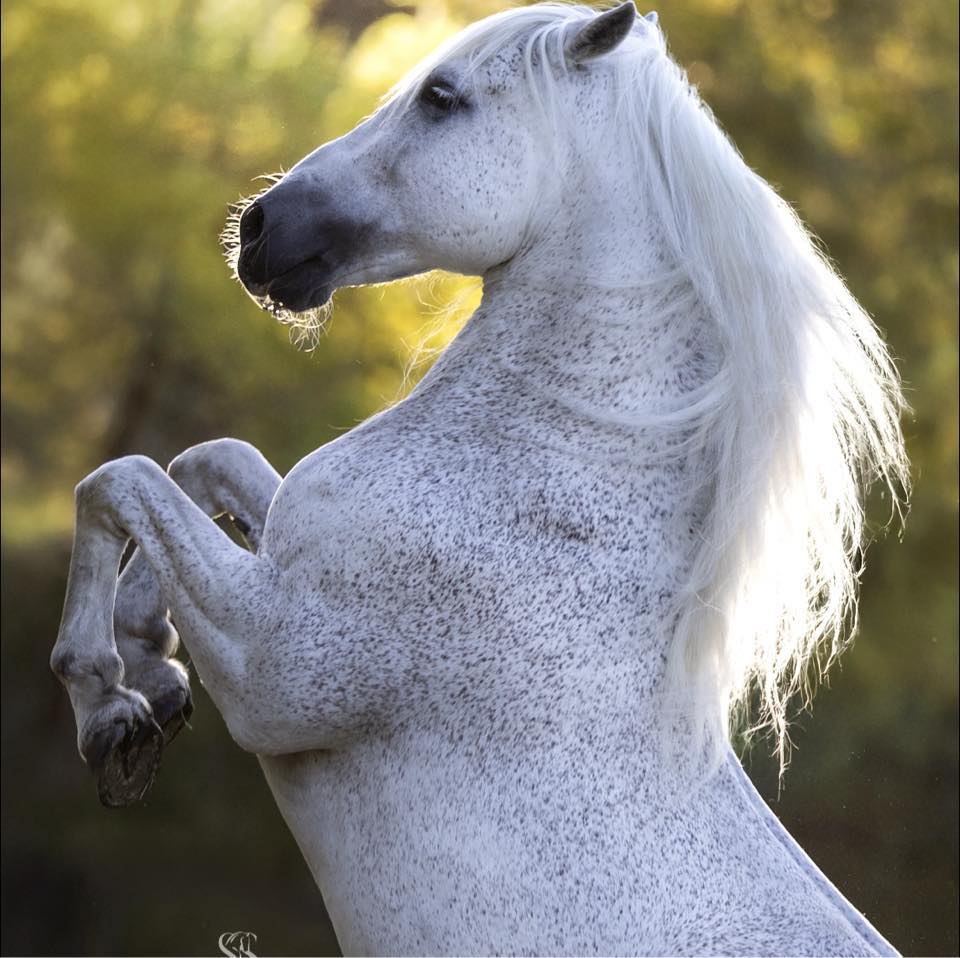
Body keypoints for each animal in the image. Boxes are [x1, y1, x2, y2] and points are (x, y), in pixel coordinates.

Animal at [51, 3, 909, 954]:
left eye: (441, 96)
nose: (258, 228)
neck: (548, 482)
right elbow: (202, 461)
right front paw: (154, 676)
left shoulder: (275, 663)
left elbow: (119, 480)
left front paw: (109, 709)